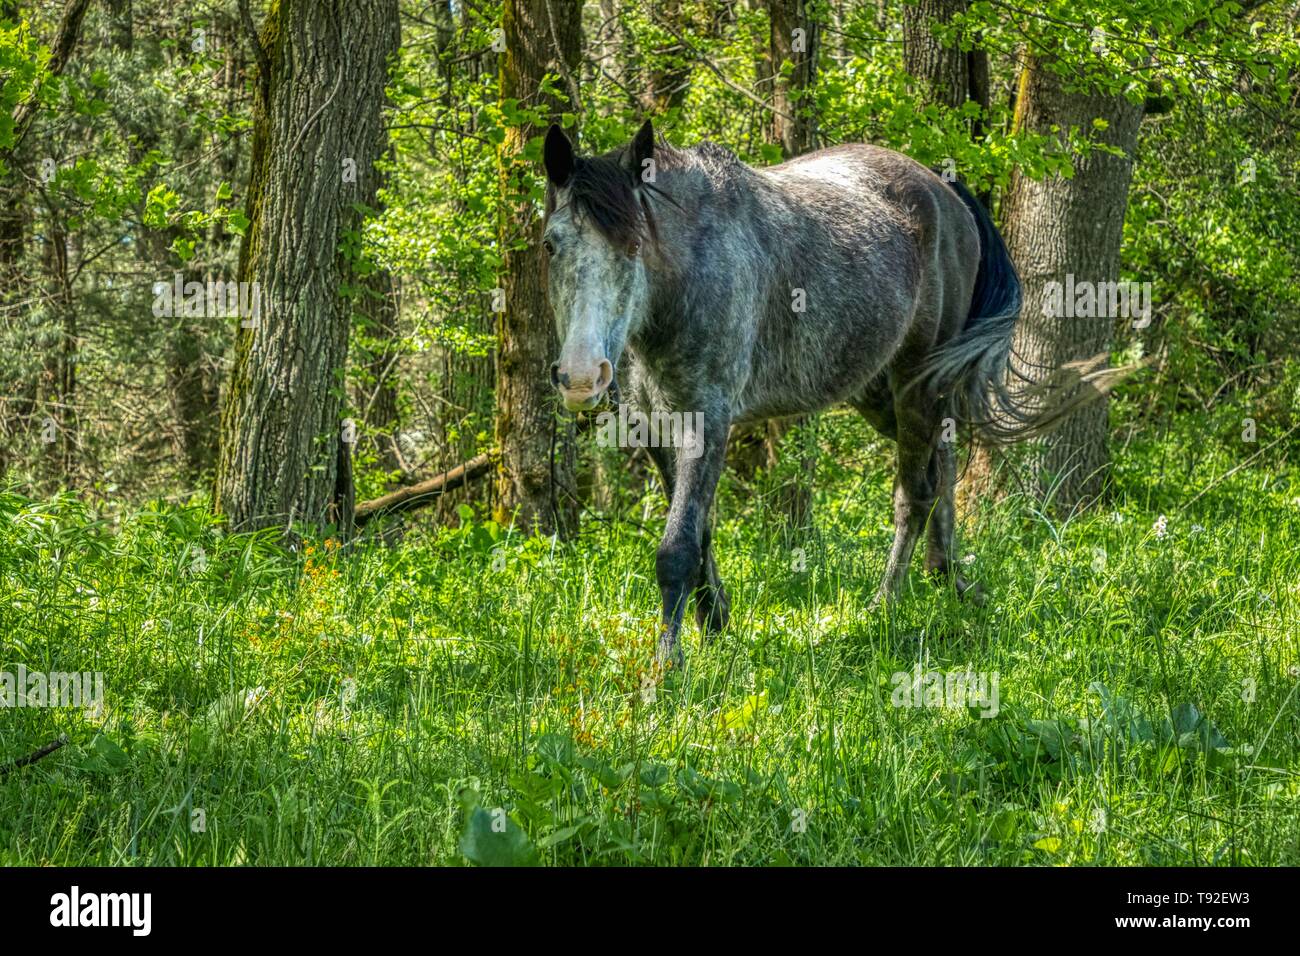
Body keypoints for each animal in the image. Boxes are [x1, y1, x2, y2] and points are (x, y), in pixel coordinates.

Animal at [538, 119, 1097, 665]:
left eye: (634, 246)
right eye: (550, 245)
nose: (582, 376)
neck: (681, 282)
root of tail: (946, 192)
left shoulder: (707, 420)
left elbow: (678, 548)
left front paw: (669, 666)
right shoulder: (655, 430)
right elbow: (701, 533)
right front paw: (715, 623)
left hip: (917, 385)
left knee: (914, 494)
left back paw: (884, 605)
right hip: (881, 395)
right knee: (943, 467)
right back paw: (950, 579)